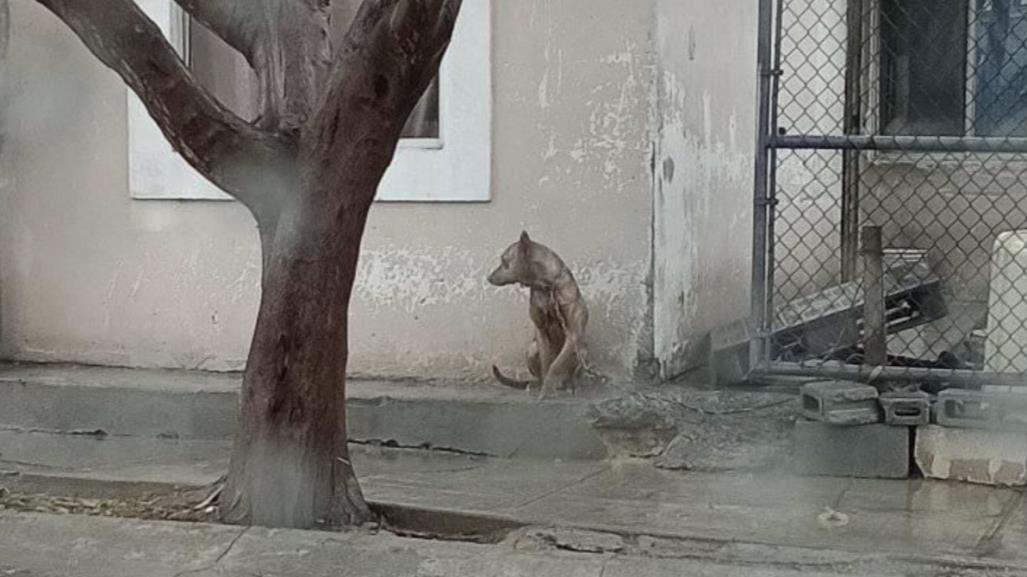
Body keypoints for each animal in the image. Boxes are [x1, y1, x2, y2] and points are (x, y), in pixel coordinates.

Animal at [486, 231, 591, 398]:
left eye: (504, 260)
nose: (488, 277)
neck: (547, 286)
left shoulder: (573, 335)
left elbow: (556, 365)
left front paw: (547, 390)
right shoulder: (541, 332)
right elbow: (547, 363)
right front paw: (545, 388)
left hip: (582, 351)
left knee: (571, 373)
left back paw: (571, 385)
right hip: (532, 348)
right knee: (540, 372)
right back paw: (537, 385)